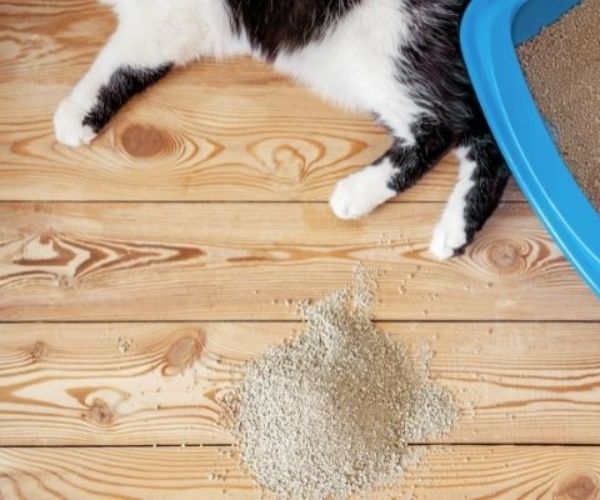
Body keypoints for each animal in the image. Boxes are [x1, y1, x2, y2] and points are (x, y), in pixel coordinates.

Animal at [54, 0, 508, 258]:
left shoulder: (169, 20)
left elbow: (116, 62)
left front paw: (75, 114)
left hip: (389, 45)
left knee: (447, 128)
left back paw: (361, 195)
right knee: (469, 129)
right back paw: (450, 228)